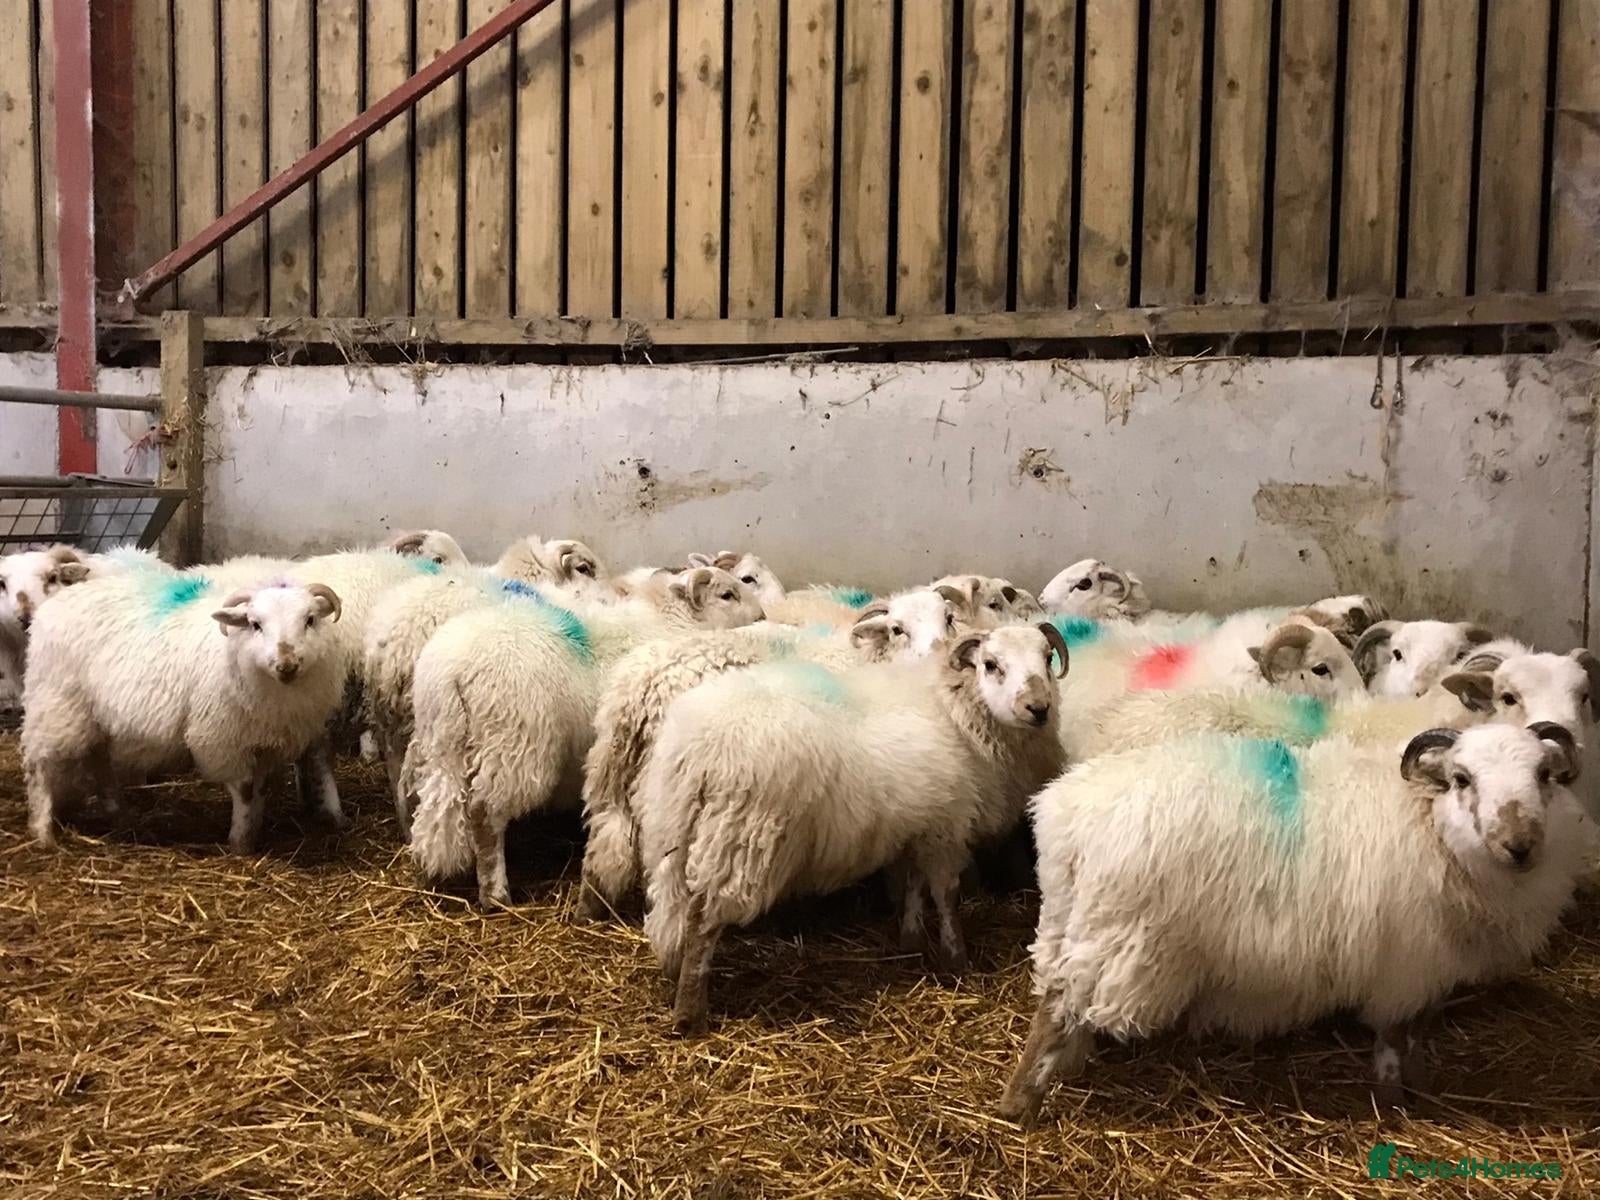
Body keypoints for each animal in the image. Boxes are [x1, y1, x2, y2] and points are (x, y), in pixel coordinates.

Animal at [22, 572, 346, 851]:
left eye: (310, 620)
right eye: (255, 624)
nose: (286, 665)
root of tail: (49, 609)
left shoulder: (265, 742)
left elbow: (261, 789)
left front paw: (253, 832)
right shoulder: (222, 739)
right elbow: (244, 790)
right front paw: (240, 843)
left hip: (94, 717)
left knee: (98, 760)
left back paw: (120, 815)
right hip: (56, 705)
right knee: (39, 766)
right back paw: (43, 833)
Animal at [405, 566, 764, 907]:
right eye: (727, 594)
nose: (762, 617)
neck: (675, 622)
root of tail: (451, 670)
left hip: (444, 743)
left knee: (438, 806)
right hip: (512, 745)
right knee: (484, 815)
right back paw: (496, 894)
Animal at [576, 588, 964, 919]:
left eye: (948, 618)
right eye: (898, 629)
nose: (938, 655)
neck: (861, 655)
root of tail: (643, 689)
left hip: (607, 779)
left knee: (605, 846)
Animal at [636, 622, 1070, 1034]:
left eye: (1047, 658)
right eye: (991, 665)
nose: (1038, 708)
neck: (955, 713)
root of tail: (698, 747)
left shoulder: (919, 823)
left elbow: (913, 886)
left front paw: (911, 941)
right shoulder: (946, 827)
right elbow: (945, 895)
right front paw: (956, 958)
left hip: (675, 831)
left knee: (671, 908)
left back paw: (675, 972)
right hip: (740, 838)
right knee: (702, 920)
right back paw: (690, 1013)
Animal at [1000, 722, 1589, 1125]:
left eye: (1543, 775)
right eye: (1463, 778)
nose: (1520, 846)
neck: (1428, 823)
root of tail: (1065, 814)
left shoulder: (1433, 969)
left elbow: (1419, 1035)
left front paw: (1424, 1090)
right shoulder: (1404, 966)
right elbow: (1393, 1040)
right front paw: (1396, 1103)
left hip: (1070, 922)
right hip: (1123, 941)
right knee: (1056, 1007)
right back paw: (1018, 1103)